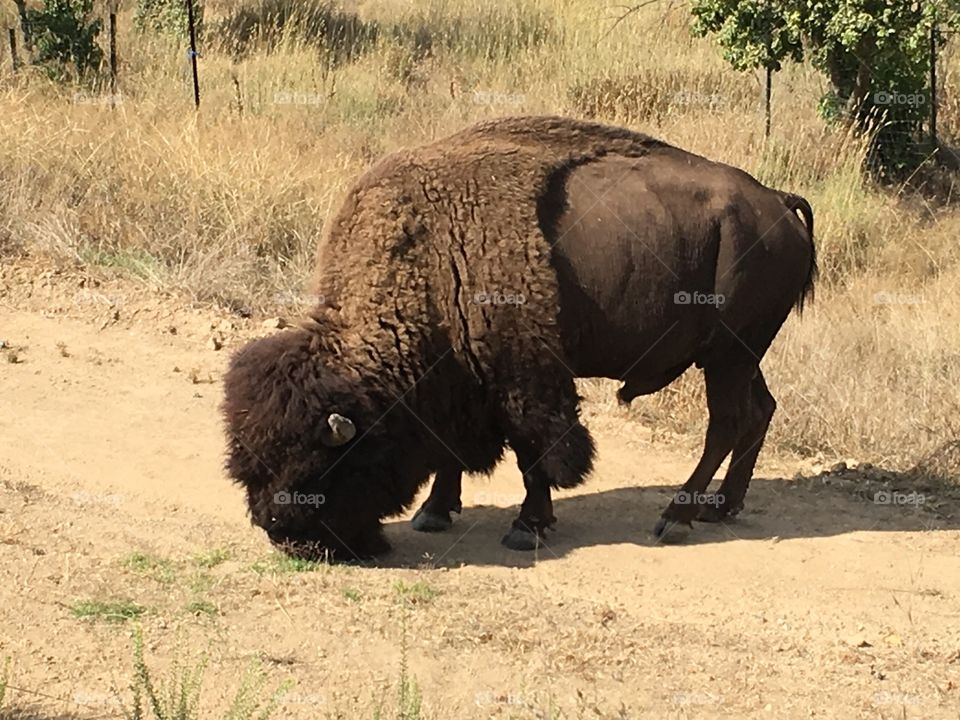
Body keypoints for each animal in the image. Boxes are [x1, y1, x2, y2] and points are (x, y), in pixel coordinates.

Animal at [223, 116, 815, 560]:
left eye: (319, 464)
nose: (284, 534)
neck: (430, 256)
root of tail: (778, 202)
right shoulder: (465, 381)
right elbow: (455, 453)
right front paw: (434, 512)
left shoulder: (525, 378)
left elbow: (536, 452)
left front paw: (526, 526)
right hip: (741, 357)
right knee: (759, 411)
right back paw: (725, 506)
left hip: (728, 355)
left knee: (726, 423)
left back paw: (678, 516)